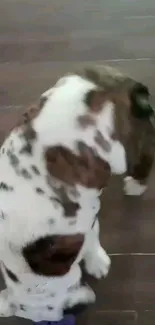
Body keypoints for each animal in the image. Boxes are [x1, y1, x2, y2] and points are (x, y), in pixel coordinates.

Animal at [0, 64, 154, 320]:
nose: (81, 307)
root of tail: (105, 82)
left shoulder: (83, 222)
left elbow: (92, 239)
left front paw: (96, 262)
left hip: (126, 147)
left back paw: (136, 184)